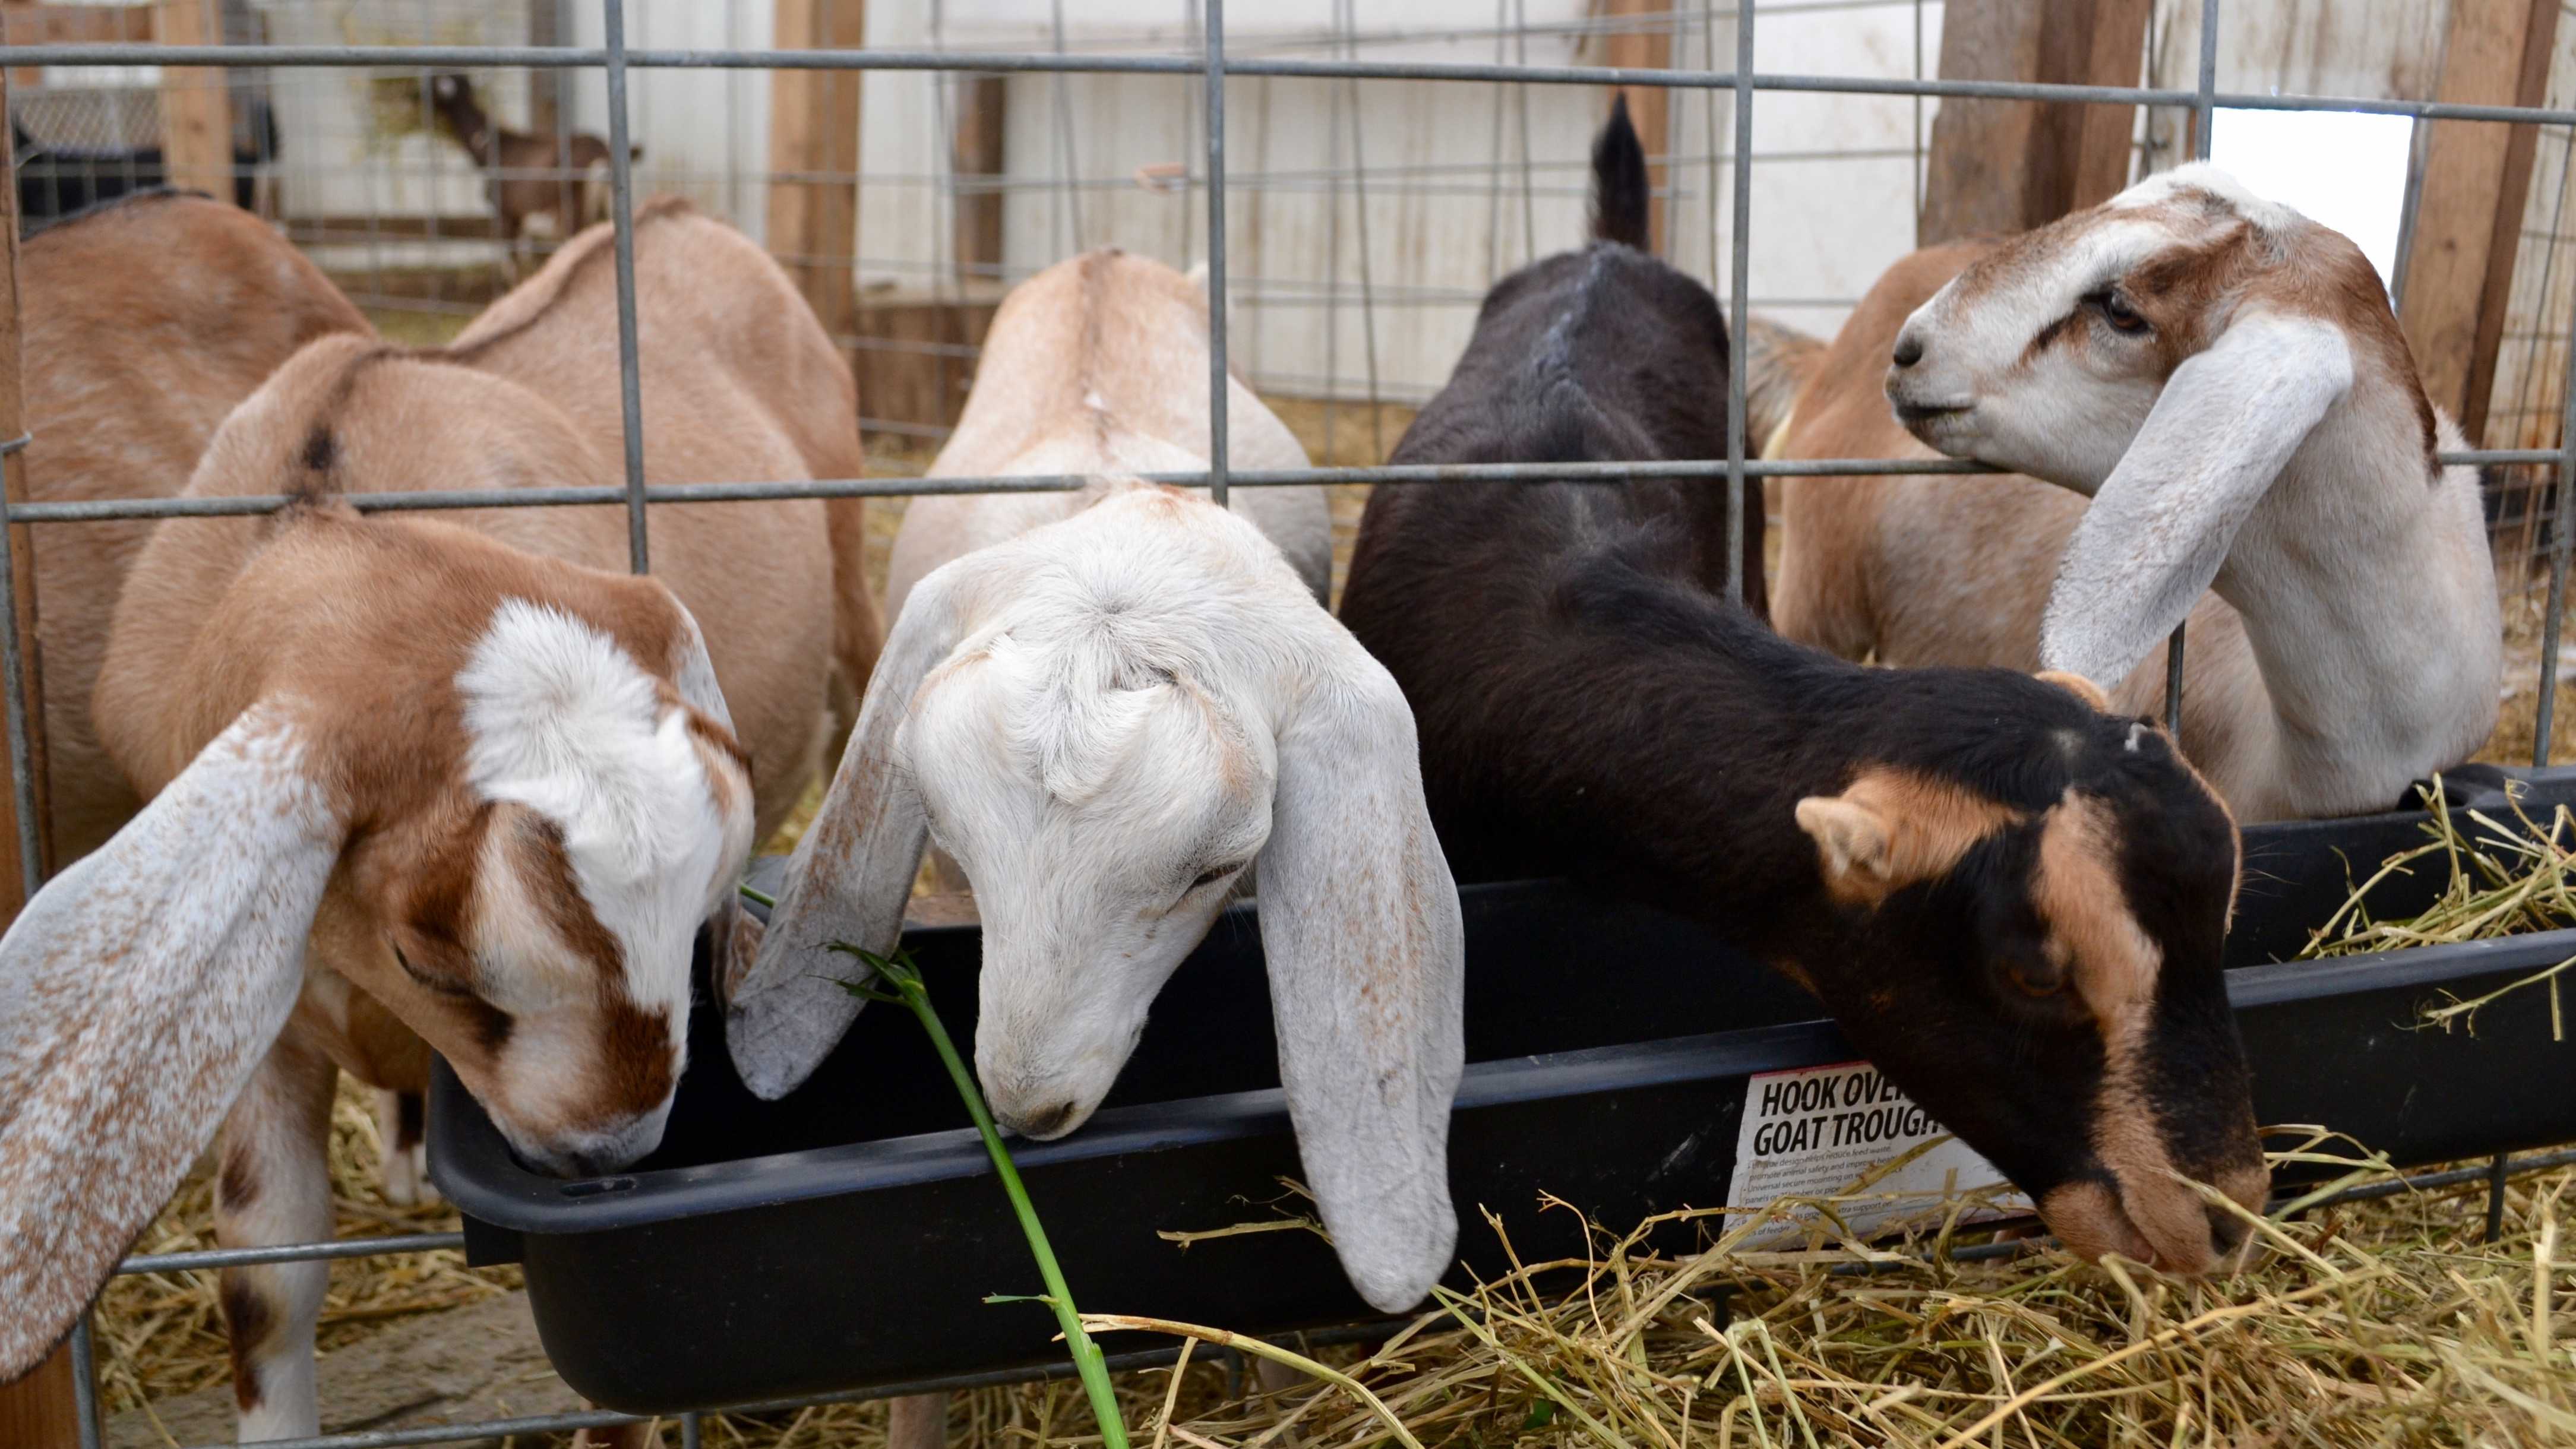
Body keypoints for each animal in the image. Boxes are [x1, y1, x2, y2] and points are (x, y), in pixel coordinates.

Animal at [0, 201, 886, 1441]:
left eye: (700, 915)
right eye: (431, 960)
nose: (608, 1152)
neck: (326, 502)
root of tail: (678, 216)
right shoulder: (262, 1005)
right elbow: (264, 1272)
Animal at [427, 71, 639, 278]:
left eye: (435, 81)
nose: (420, 93)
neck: (493, 149)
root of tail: (602, 155)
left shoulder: (506, 212)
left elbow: (512, 266)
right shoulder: (522, 219)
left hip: (573, 209)